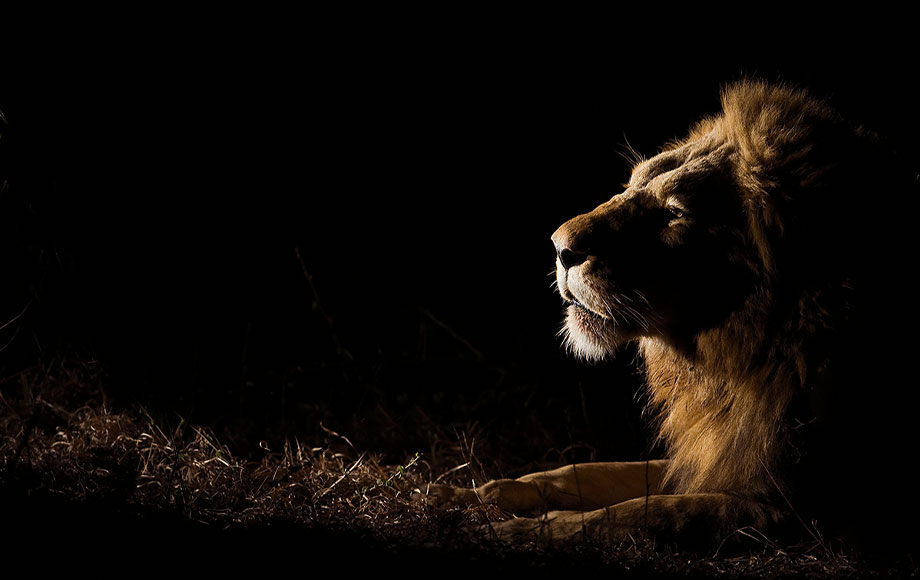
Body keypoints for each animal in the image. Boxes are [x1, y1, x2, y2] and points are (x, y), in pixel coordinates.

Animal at [432, 80, 920, 552]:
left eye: (674, 214)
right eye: (630, 185)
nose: (559, 248)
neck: (729, 364)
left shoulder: (794, 511)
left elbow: (640, 514)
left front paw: (512, 533)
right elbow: (589, 471)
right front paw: (469, 493)